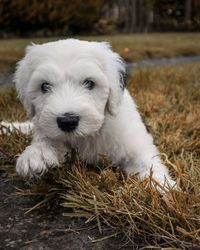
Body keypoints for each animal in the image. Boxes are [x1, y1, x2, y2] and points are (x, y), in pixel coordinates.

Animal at [14, 39, 175, 187]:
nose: (67, 122)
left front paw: (161, 187)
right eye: (44, 86)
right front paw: (36, 155)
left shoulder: (135, 145)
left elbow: (148, 164)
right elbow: (46, 139)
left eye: (89, 83)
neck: (91, 134)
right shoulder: (47, 129)